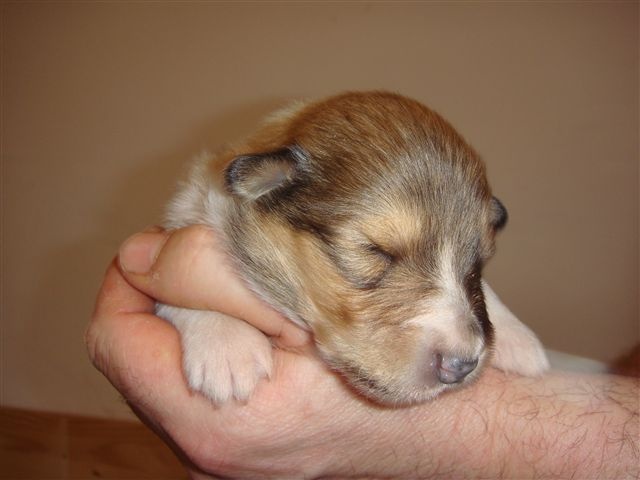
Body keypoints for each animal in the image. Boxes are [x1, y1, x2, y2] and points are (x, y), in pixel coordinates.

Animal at [157, 91, 549, 406]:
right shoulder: (181, 216)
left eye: (479, 263)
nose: (463, 364)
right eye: (376, 250)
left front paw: (517, 337)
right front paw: (227, 344)